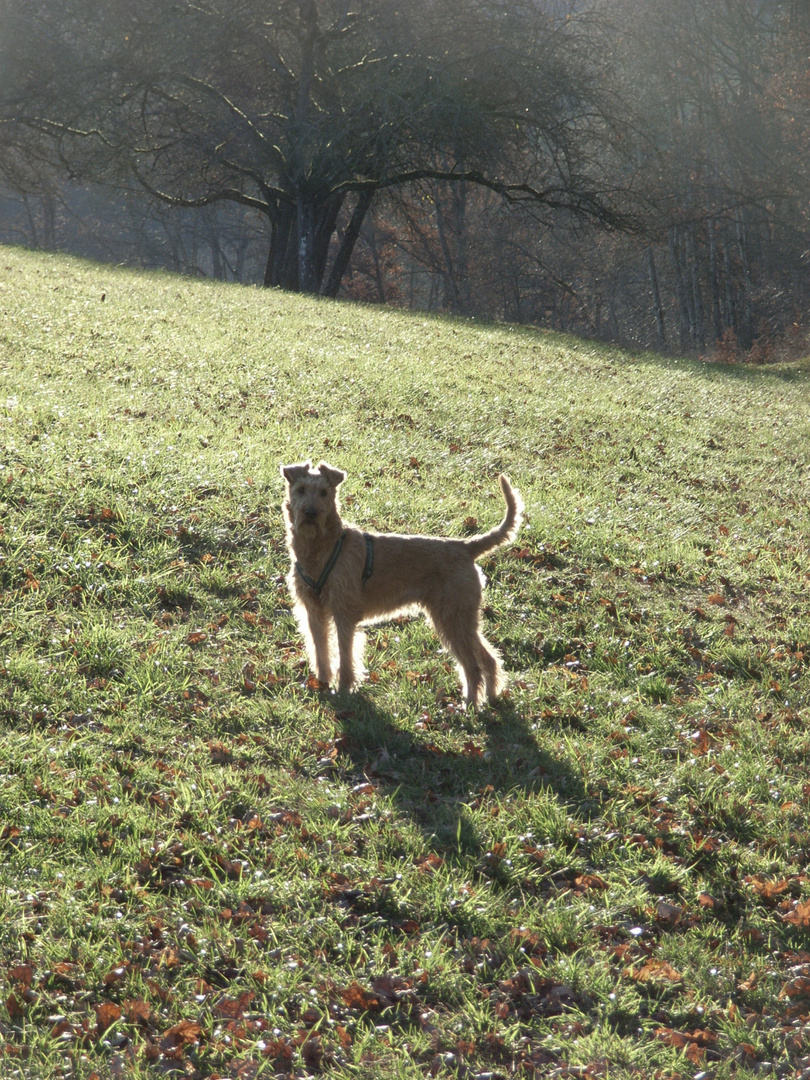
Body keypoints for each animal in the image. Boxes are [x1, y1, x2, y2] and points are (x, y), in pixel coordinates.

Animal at [280, 457, 527, 704]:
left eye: (324, 492)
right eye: (301, 490)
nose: (310, 513)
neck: (320, 547)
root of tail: (466, 547)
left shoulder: (344, 613)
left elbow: (345, 656)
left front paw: (343, 690)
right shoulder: (314, 611)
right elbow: (320, 650)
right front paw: (322, 683)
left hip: (452, 618)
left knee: (473, 665)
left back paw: (470, 705)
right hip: (462, 619)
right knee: (489, 658)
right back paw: (491, 697)